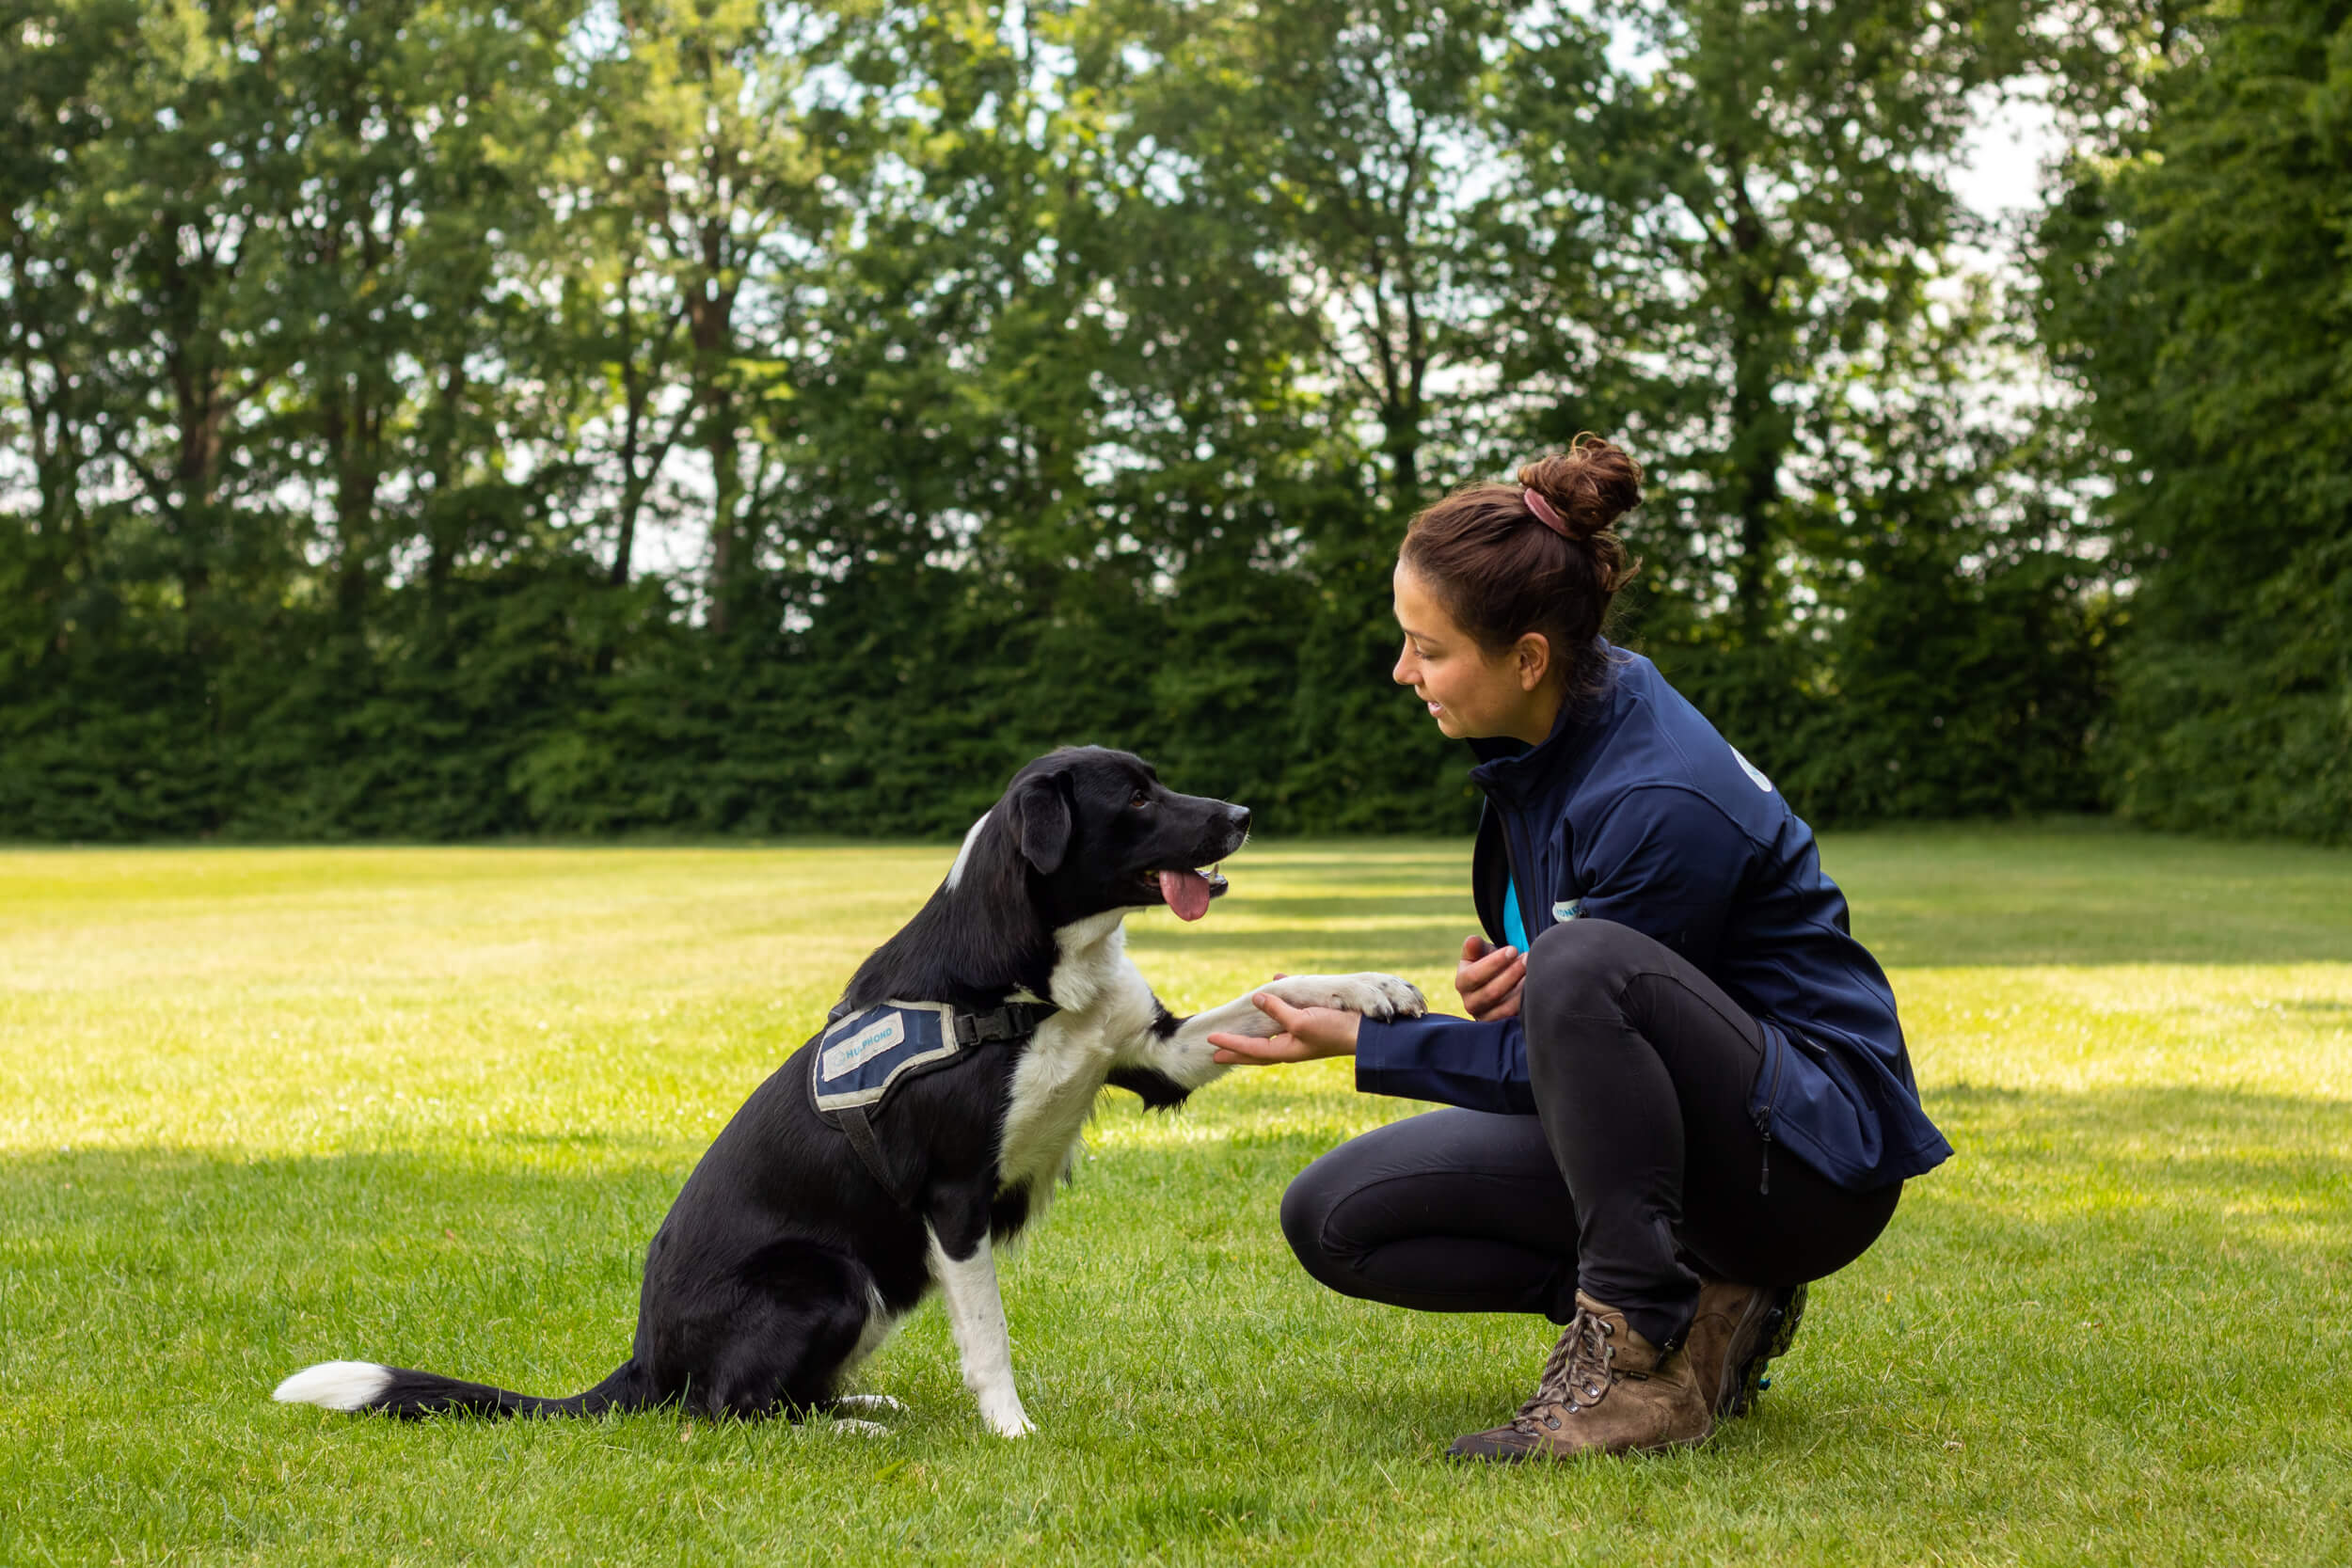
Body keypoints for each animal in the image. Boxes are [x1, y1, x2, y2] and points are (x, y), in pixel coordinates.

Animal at [270, 752, 1411, 1438]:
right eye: (1132, 797)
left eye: (1159, 782)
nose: (1243, 815)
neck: (1029, 975)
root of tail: (643, 1357)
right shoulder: (952, 1200)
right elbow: (990, 1336)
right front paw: (1012, 1430)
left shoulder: (1155, 1052)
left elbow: (1281, 990)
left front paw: (1377, 989)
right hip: (828, 1274)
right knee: (726, 1410)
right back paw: (846, 1426)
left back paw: (858, 1401)